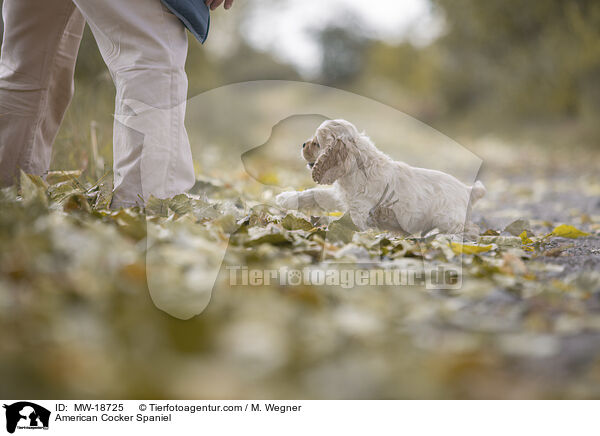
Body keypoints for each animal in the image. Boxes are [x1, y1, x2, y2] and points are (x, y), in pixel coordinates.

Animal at [276, 119, 488, 237]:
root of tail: (468, 189)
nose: (303, 144)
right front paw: (285, 199)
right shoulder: (342, 197)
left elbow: (351, 223)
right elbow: (313, 193)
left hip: (448, 219)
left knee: (470, 229)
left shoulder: (361, 210)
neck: (358, 167)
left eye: (317, 144)